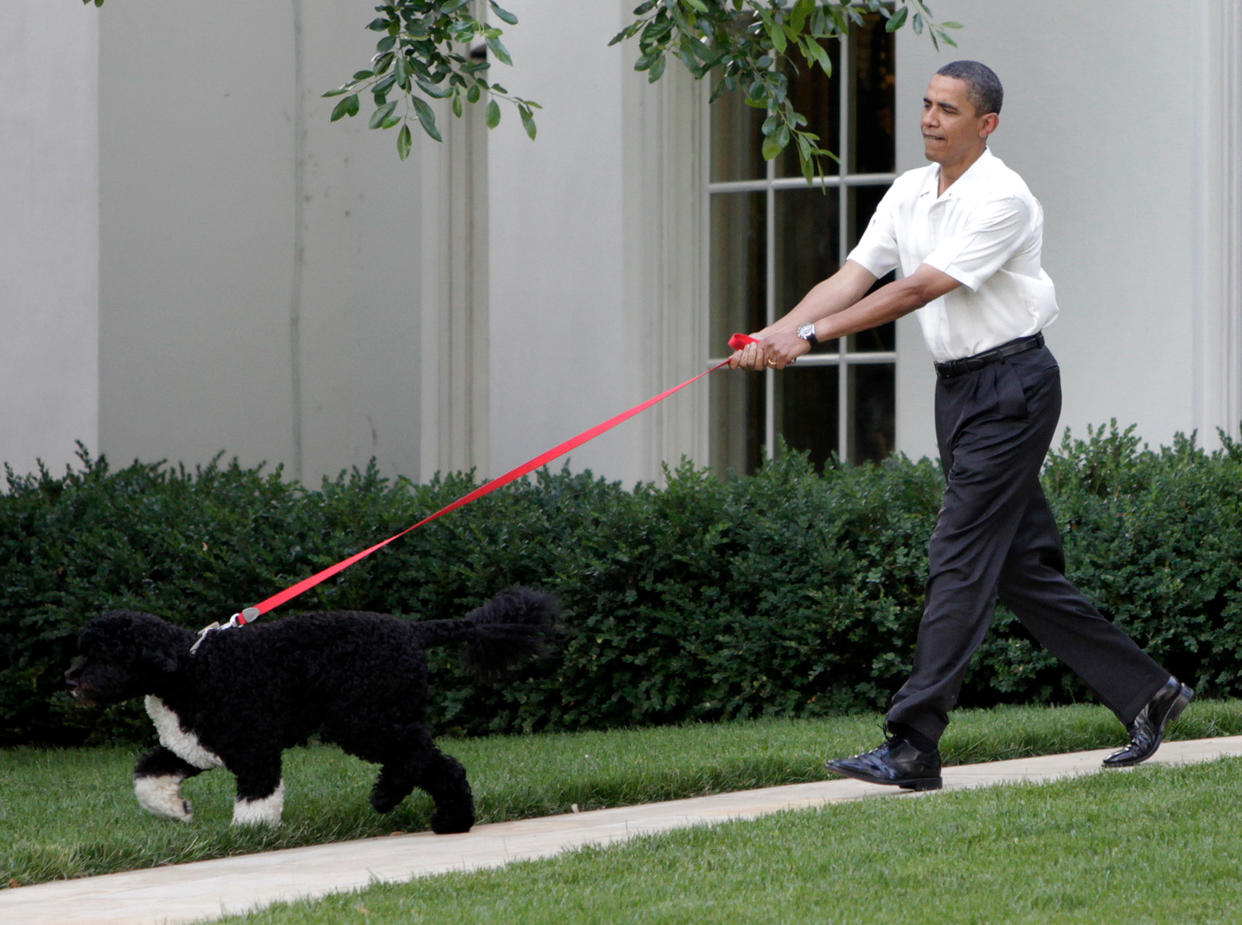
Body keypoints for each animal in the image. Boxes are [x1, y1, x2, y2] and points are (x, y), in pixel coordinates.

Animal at [65, 588, 556, 834]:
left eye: (106, 653)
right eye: (83, 648)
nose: (70, 681)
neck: (191, 668)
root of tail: (414, 631)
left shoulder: (255, 747)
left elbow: (258, 797)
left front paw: (250, 835)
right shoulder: (192, 747)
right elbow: (147, 778)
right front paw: (178, 810)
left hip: (363, 719)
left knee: (418, 754)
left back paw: (387, 796)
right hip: (373, 719)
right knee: (440, 764)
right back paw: (452, 821)